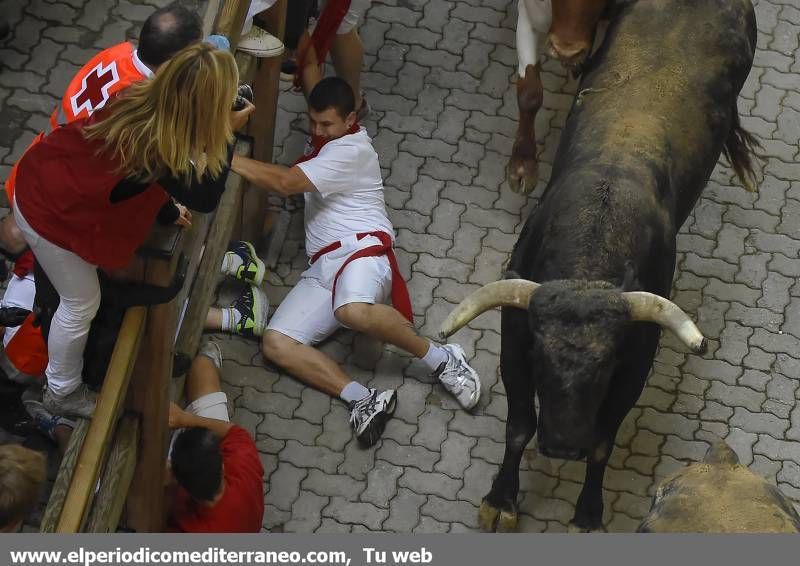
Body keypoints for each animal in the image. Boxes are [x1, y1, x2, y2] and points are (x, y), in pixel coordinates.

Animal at [440, 0, 760, 532]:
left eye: (605, 366)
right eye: (541, 358)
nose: (563, 445)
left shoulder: (635, 366)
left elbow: (603, 445)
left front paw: (588, 511)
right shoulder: (514, 341)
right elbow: (518, 426)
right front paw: (501, 499)